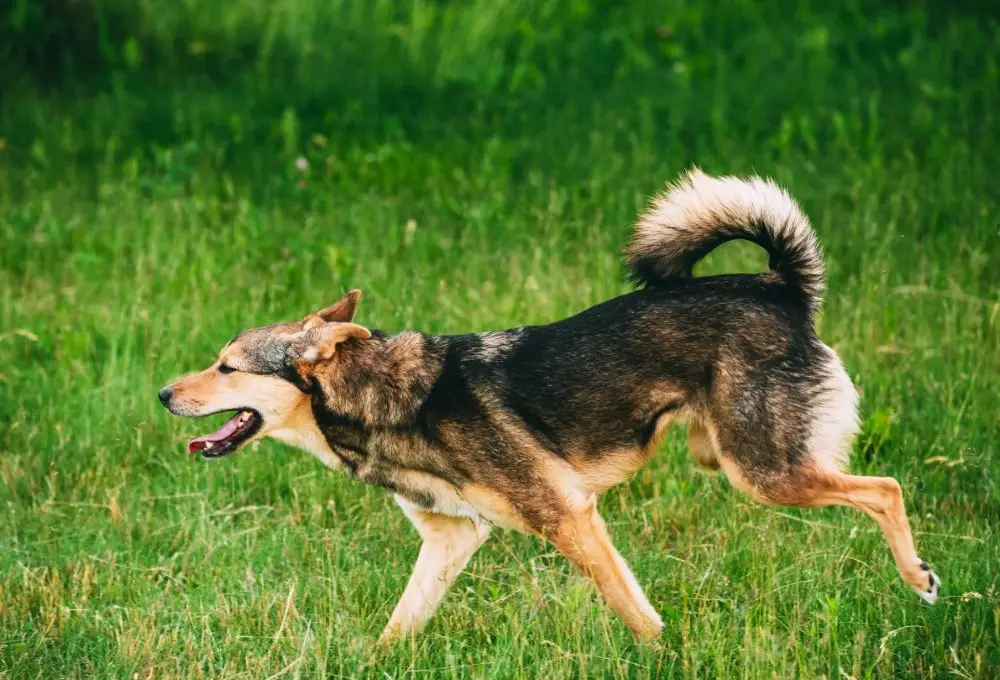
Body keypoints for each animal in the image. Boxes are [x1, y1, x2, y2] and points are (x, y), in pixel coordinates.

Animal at [156, 169, 936, 644]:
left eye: (226, 367)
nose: (163, 394)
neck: (375, 397)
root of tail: (780, 288)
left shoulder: (569, 517)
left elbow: (634, 611)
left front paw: (663, 654)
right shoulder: (452, 539)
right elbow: (397, 628)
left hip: (763, 471)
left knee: (885, 488)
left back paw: (919, 579)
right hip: (724, 457)